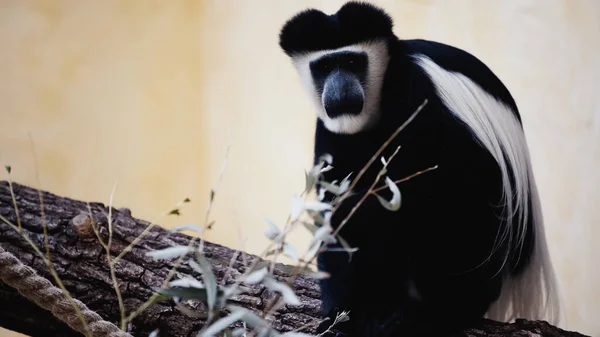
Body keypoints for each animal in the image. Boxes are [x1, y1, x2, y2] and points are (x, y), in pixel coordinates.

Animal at [278, 2, 560, 336]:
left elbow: (442, 181)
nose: (340, 88)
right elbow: (335, 210)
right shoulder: (330, 134)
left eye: (352, 61)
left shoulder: (418, 92)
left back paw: (438, 311)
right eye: (323, 66)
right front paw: (340, 313)